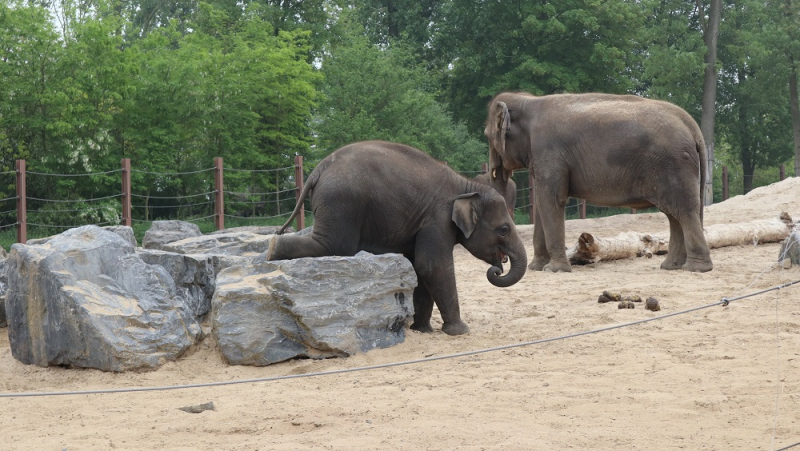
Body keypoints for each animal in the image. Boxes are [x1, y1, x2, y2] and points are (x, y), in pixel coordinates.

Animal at [272, 141, 528, 336]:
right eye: (504, 229)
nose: (497, 268)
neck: (467, 186)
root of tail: (319, 169)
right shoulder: (437, 219)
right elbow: (433, 266)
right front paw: (460, 331)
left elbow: (421, 268)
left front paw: (422, 330)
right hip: (341, 201)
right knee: (334, 245)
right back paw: (273, 249)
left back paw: (272, 251)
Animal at [482, 92, 712, 274]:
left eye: (487, 135)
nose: (501, 263)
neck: (529, 101)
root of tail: (691, 124)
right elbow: (542, 202)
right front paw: (537, 268)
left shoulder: (549, 153)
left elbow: (552, 201)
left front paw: (554, 270)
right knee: (675, 215)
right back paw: (671, 267)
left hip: (674, 165)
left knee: (684, 212)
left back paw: (696, 269)